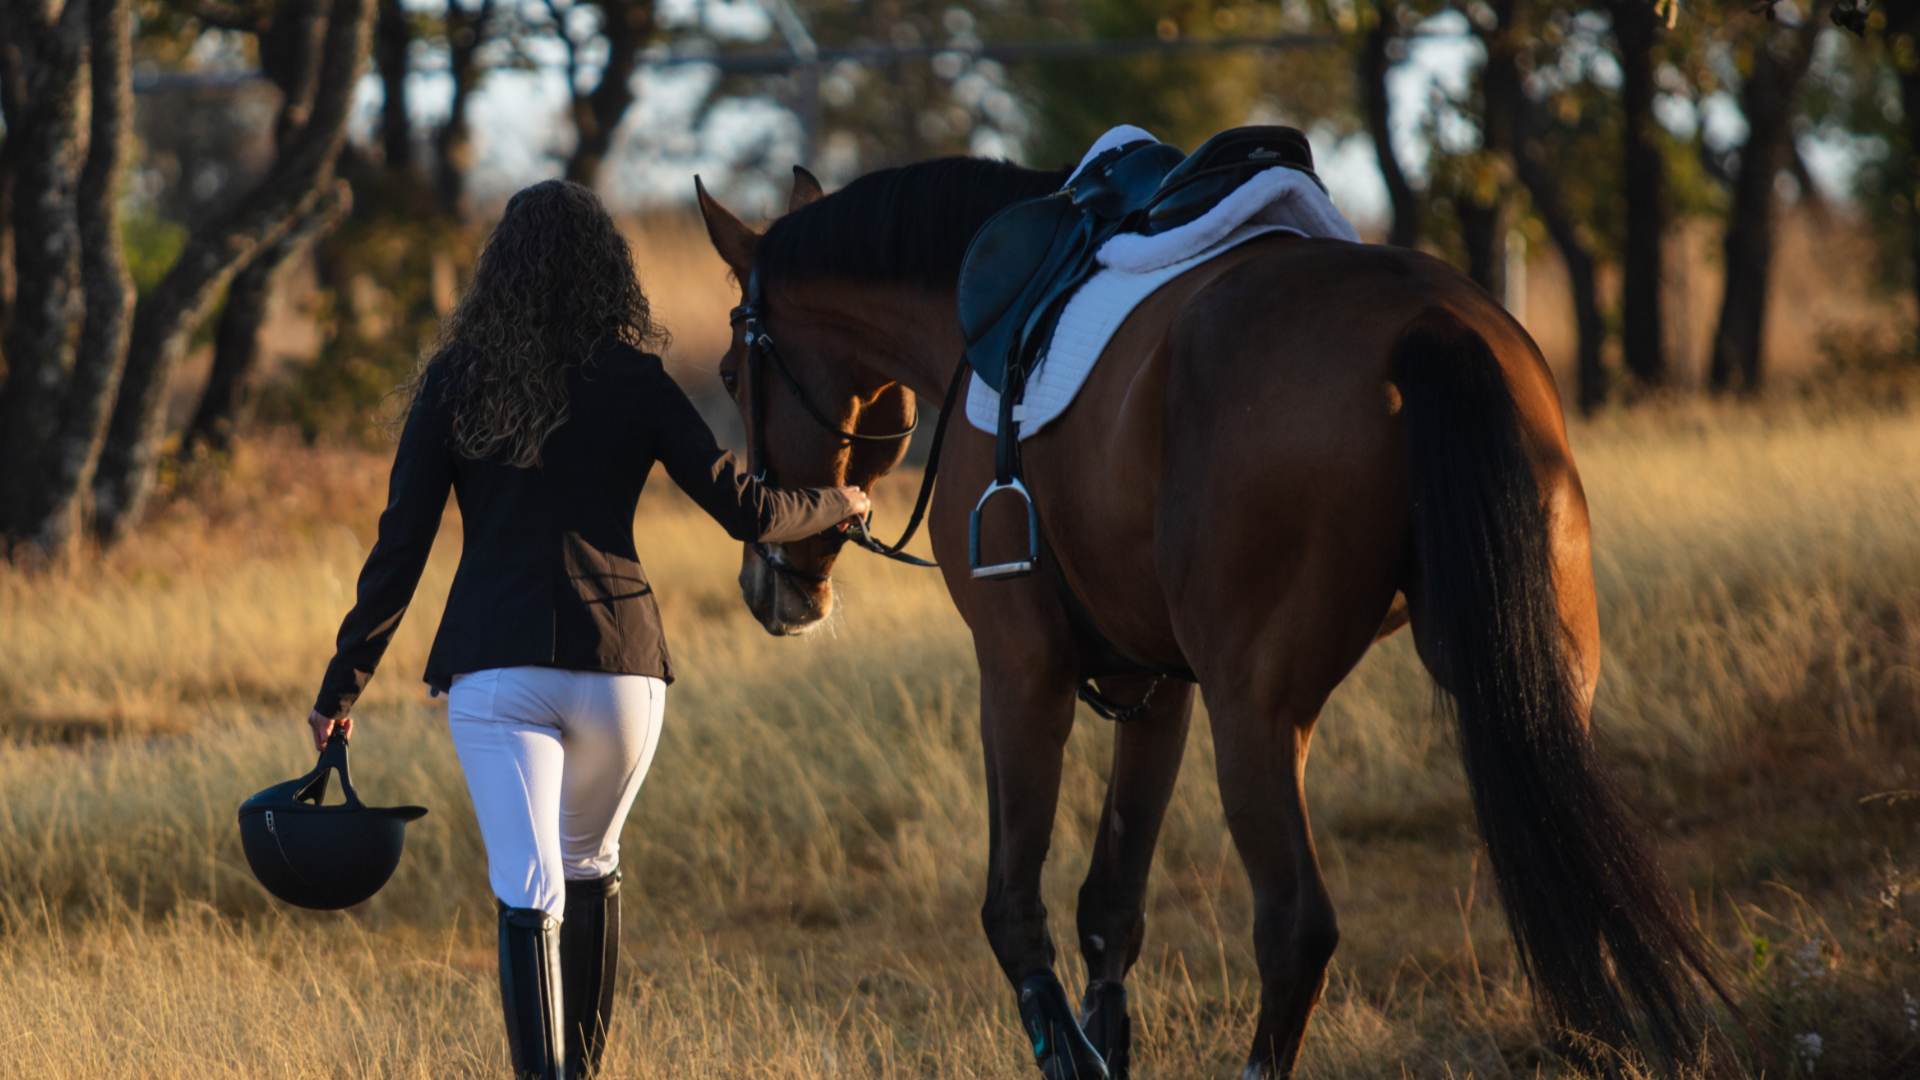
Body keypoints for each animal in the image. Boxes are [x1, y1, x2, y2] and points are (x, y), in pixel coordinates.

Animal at [693, 157, 1730, 1079]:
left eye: (732, 374)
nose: (768, 584)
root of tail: (1427, 321)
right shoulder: (1154, 687)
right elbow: (1110, 912)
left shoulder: (1020, 669)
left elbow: (1015, 913)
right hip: (1532, 679)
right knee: (1568, 863)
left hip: (1258, 709)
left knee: (1296, 926)